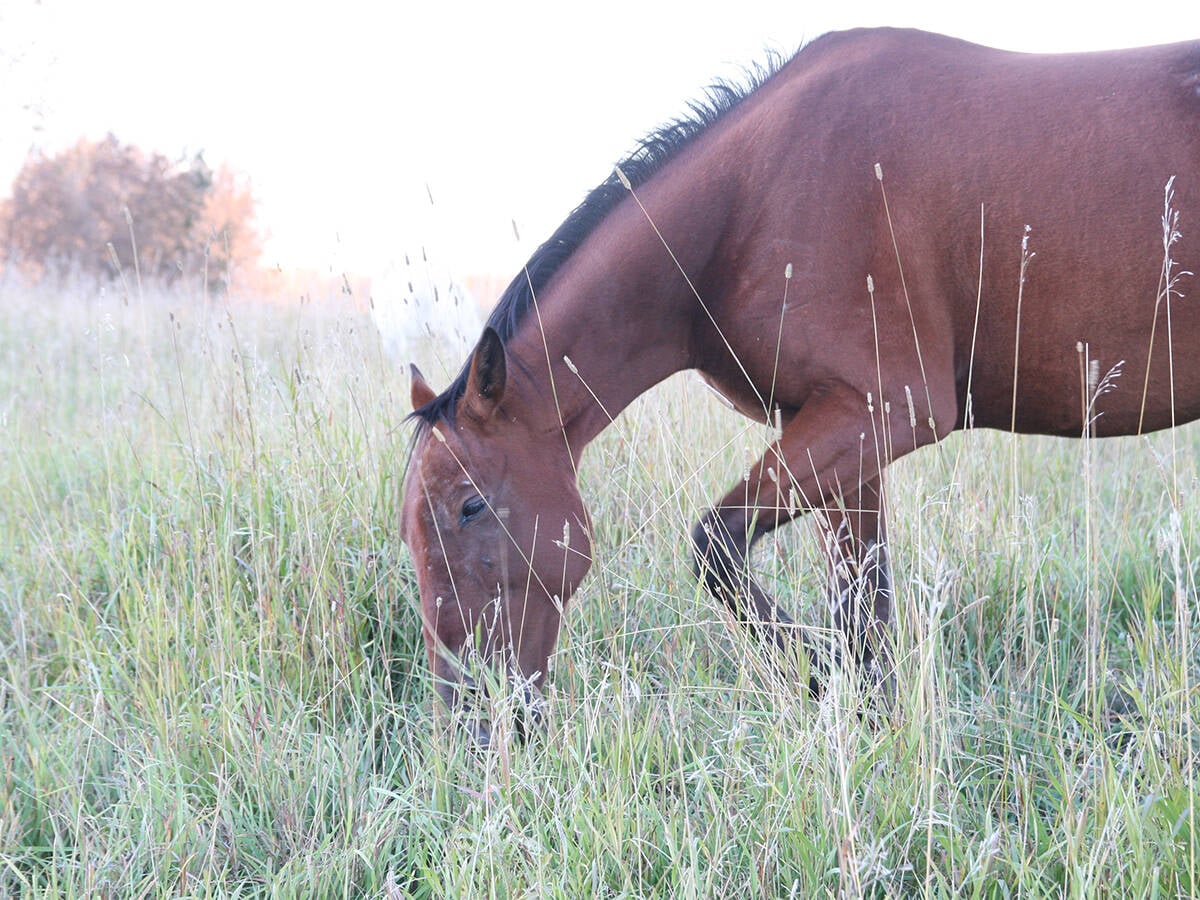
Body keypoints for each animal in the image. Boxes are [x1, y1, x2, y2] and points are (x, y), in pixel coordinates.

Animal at [401, 27, 1200, 743]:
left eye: (470, 506)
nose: (471, 719)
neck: (750, 200)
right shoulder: (844, 429)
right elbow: (862, 601)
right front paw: (872, 719)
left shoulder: (884, 412)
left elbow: (718, 548)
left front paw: (824, 675)